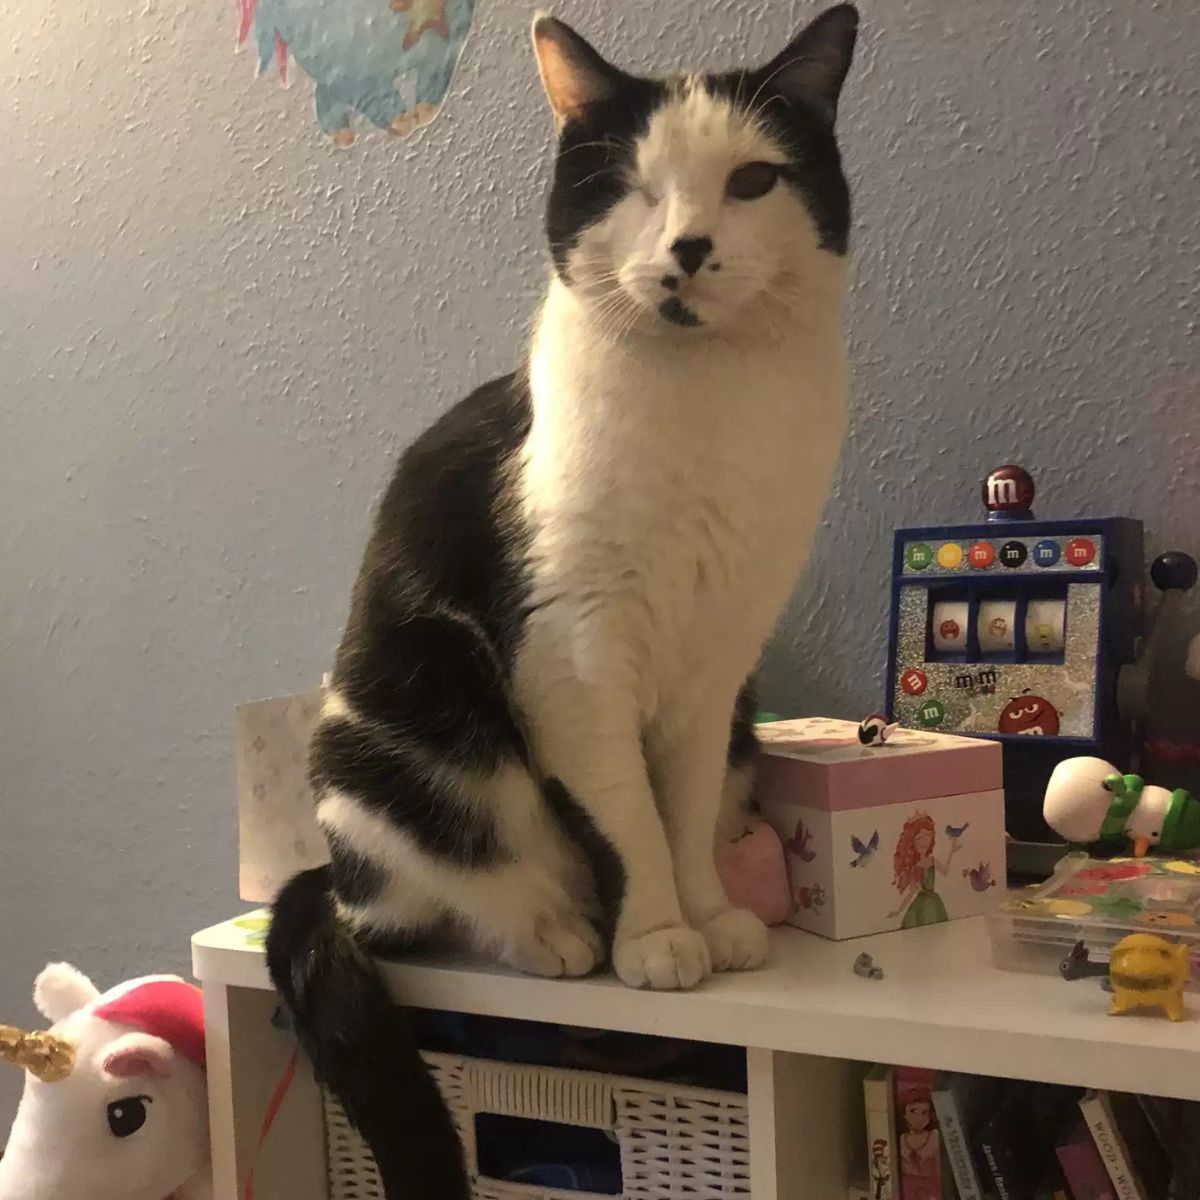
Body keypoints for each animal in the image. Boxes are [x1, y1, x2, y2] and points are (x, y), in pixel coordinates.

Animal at [267, 11, 859, 1200]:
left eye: (753, 180)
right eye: (634, 187)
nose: (687, 247)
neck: (708, 407)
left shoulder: (715, 669)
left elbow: (680, 803)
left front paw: (703, 914)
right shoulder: (572, 658)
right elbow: (623, 814)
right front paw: (655, 936)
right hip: (408, 729)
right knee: (421, 901)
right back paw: (554, 930)